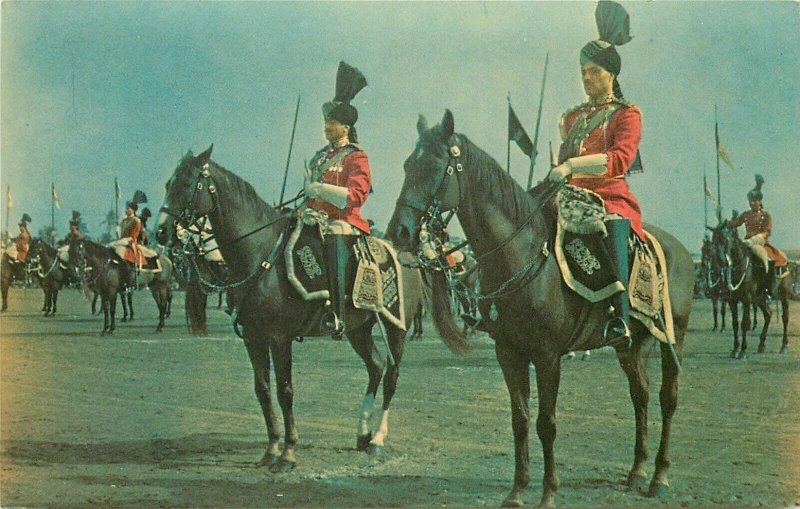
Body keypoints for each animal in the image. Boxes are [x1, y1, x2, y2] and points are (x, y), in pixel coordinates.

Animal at [158, 145, 432, 470]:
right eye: (168, 184)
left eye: (188, 184)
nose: (161, 233)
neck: (262, 251)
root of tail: (406, 254)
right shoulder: (253, 338)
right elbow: (263, 390)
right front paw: (271, 449)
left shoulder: (279, 338)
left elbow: (285, 390)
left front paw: (288, 453)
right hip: (359, 329)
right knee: (376, 367)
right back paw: (362, 433)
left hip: (395, 326)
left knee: (391, 375)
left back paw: (377, 439)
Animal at [388, 112, 692, 508]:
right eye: (408, 165)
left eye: (435, 166)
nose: (399, 232)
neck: (521, 252)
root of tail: (680, 249)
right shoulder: (509, 353)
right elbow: (520, 420)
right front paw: (518, 489)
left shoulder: (548, 356)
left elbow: (546, 423)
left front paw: (548, 492)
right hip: (631, 344)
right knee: (639, 394)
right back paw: (636, 471)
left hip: (674, 336)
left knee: (667, 399)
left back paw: (659, 477)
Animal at [708, 222, 792, 358]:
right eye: (714, 239)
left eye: (726, 239)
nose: (720, 261)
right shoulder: (732, 300)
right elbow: (735, 323)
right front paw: (735, 349)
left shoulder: (746, 299)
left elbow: (745, 323)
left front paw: (743, 351)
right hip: (760, 298)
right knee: (768, 314)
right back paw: (761, 344)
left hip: (784, 296)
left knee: (785, 318)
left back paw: (784, 345)